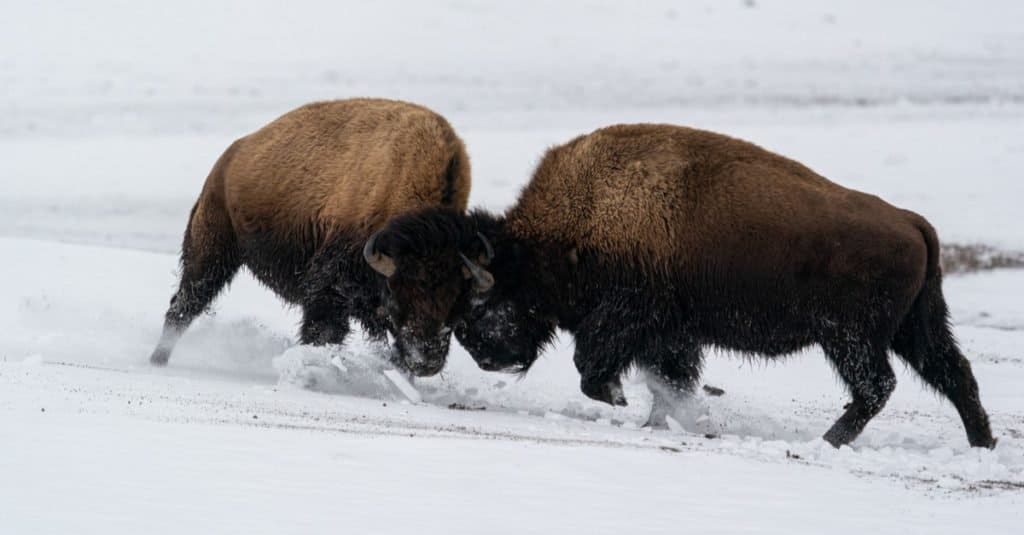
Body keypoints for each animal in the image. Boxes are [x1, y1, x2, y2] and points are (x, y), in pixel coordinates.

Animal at [146, 98, 485, 375]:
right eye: (402, 292)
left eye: (459, 299)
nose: (426, 361)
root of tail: (227, 160)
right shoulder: (330, 283)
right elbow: (323, 329)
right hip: (212, 253)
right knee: (185, 304)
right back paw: (158, 359)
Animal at [372, 124, 995, 444]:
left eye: (484, 302)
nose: (485, 357)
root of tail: (911, 222)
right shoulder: (671, 334)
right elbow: (669, 377)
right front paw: (667, 416)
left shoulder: (626, 321)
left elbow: (594, 369)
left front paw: (624, 401)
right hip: (913, 329)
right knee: (954, 375)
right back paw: (980, 442)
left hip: (851, 338)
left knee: (878, 386)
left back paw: (829, 439)